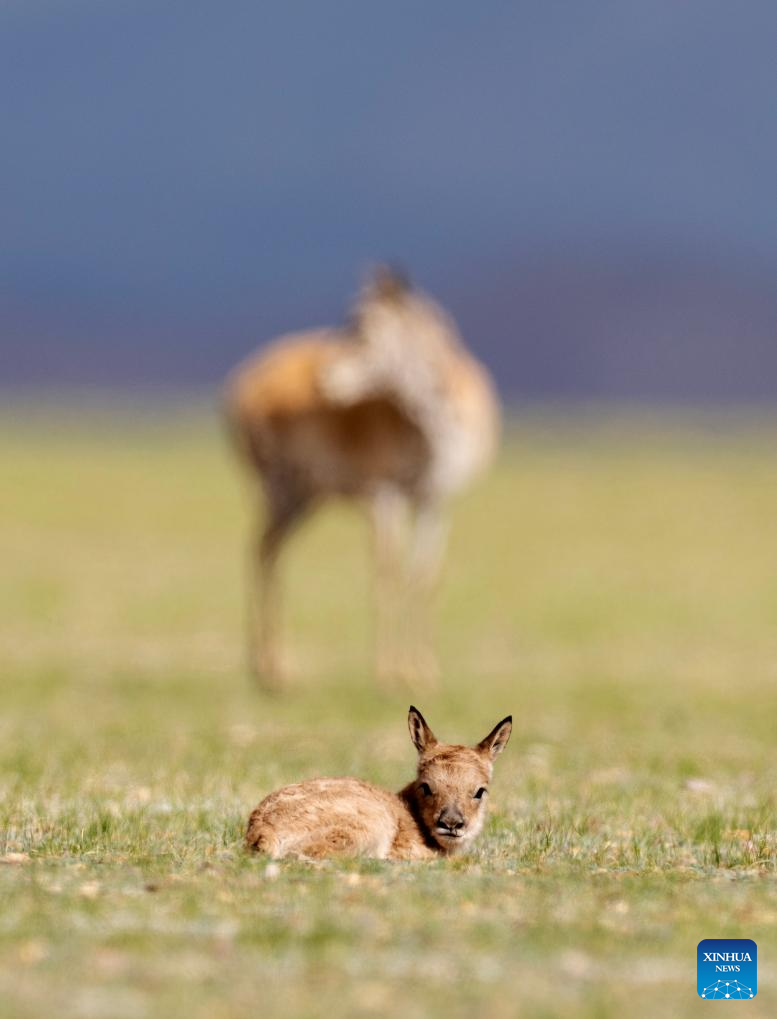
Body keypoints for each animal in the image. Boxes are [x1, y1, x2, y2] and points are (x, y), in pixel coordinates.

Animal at [221, 266, 501, 688]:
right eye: (348, 323)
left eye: (363, 330)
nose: (323, 379)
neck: (433, 425)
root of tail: (243, 382)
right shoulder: (384, 494)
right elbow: (388, 573)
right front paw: (390, 672)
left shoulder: (435, 501)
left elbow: (425, 577)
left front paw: (425, 670)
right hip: (281, 488)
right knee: (265, 551)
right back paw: (275, 668)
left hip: (306, 496)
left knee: (266, 549)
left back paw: (268, 666)